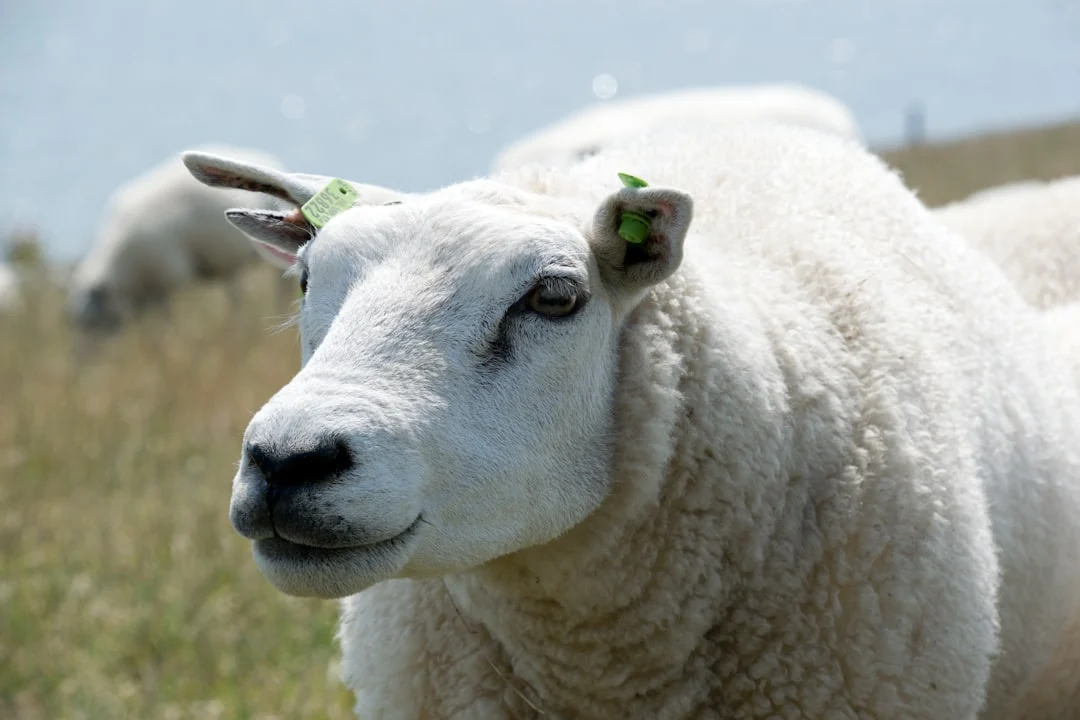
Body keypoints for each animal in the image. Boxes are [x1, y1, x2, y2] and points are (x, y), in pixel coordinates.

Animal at [66, 145, 296, 343]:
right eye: (76, 322)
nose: (83, 362)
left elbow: (166, 317)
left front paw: (169, 338)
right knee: (235, 295)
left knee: (279, 282)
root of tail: (264, 157)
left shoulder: (167, 276)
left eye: (94, 322)